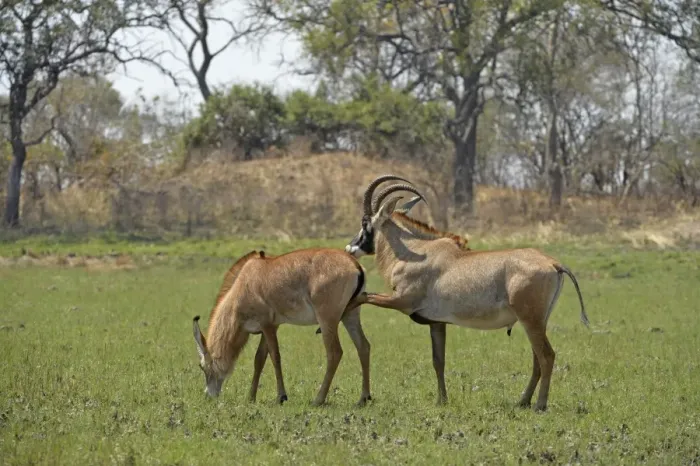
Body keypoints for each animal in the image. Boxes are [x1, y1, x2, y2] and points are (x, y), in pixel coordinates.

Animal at [192, 248, 372, 407]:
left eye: (202, 366)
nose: (208, 396)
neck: (245, 282)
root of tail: (354, 264)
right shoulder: (271, 326)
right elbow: (259, 359)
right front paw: (251, 397)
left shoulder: (267, 325)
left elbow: (275, 357)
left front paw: (281, 396)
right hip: (350, 316)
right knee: (363, 346)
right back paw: (363, 398)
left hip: (327, 319)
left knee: (334, 352)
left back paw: (318, 400)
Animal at [344, 175, 590, 411]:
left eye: (365, 222)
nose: (351, 248)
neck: (415, 252)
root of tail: (553, 264)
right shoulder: (436, 322)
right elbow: (438, 360)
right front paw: (442, 400)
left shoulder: (402, 301)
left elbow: (365, 296)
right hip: (536, 322)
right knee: (537, 358)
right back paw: (523, 402)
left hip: (531, 321)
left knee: (546, 356)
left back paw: (540, 404)